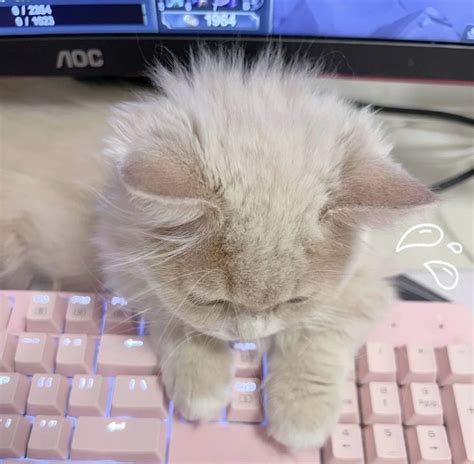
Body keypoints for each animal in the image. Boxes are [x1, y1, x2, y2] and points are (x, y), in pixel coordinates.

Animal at [95, 50, 436, 450]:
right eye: (209, 301)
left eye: (296, 301)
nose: (248, 336)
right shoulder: (126, 267)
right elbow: (179, 323)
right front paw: (203, 387)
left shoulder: (366, 287)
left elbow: (318, 340)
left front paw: (301, 416)